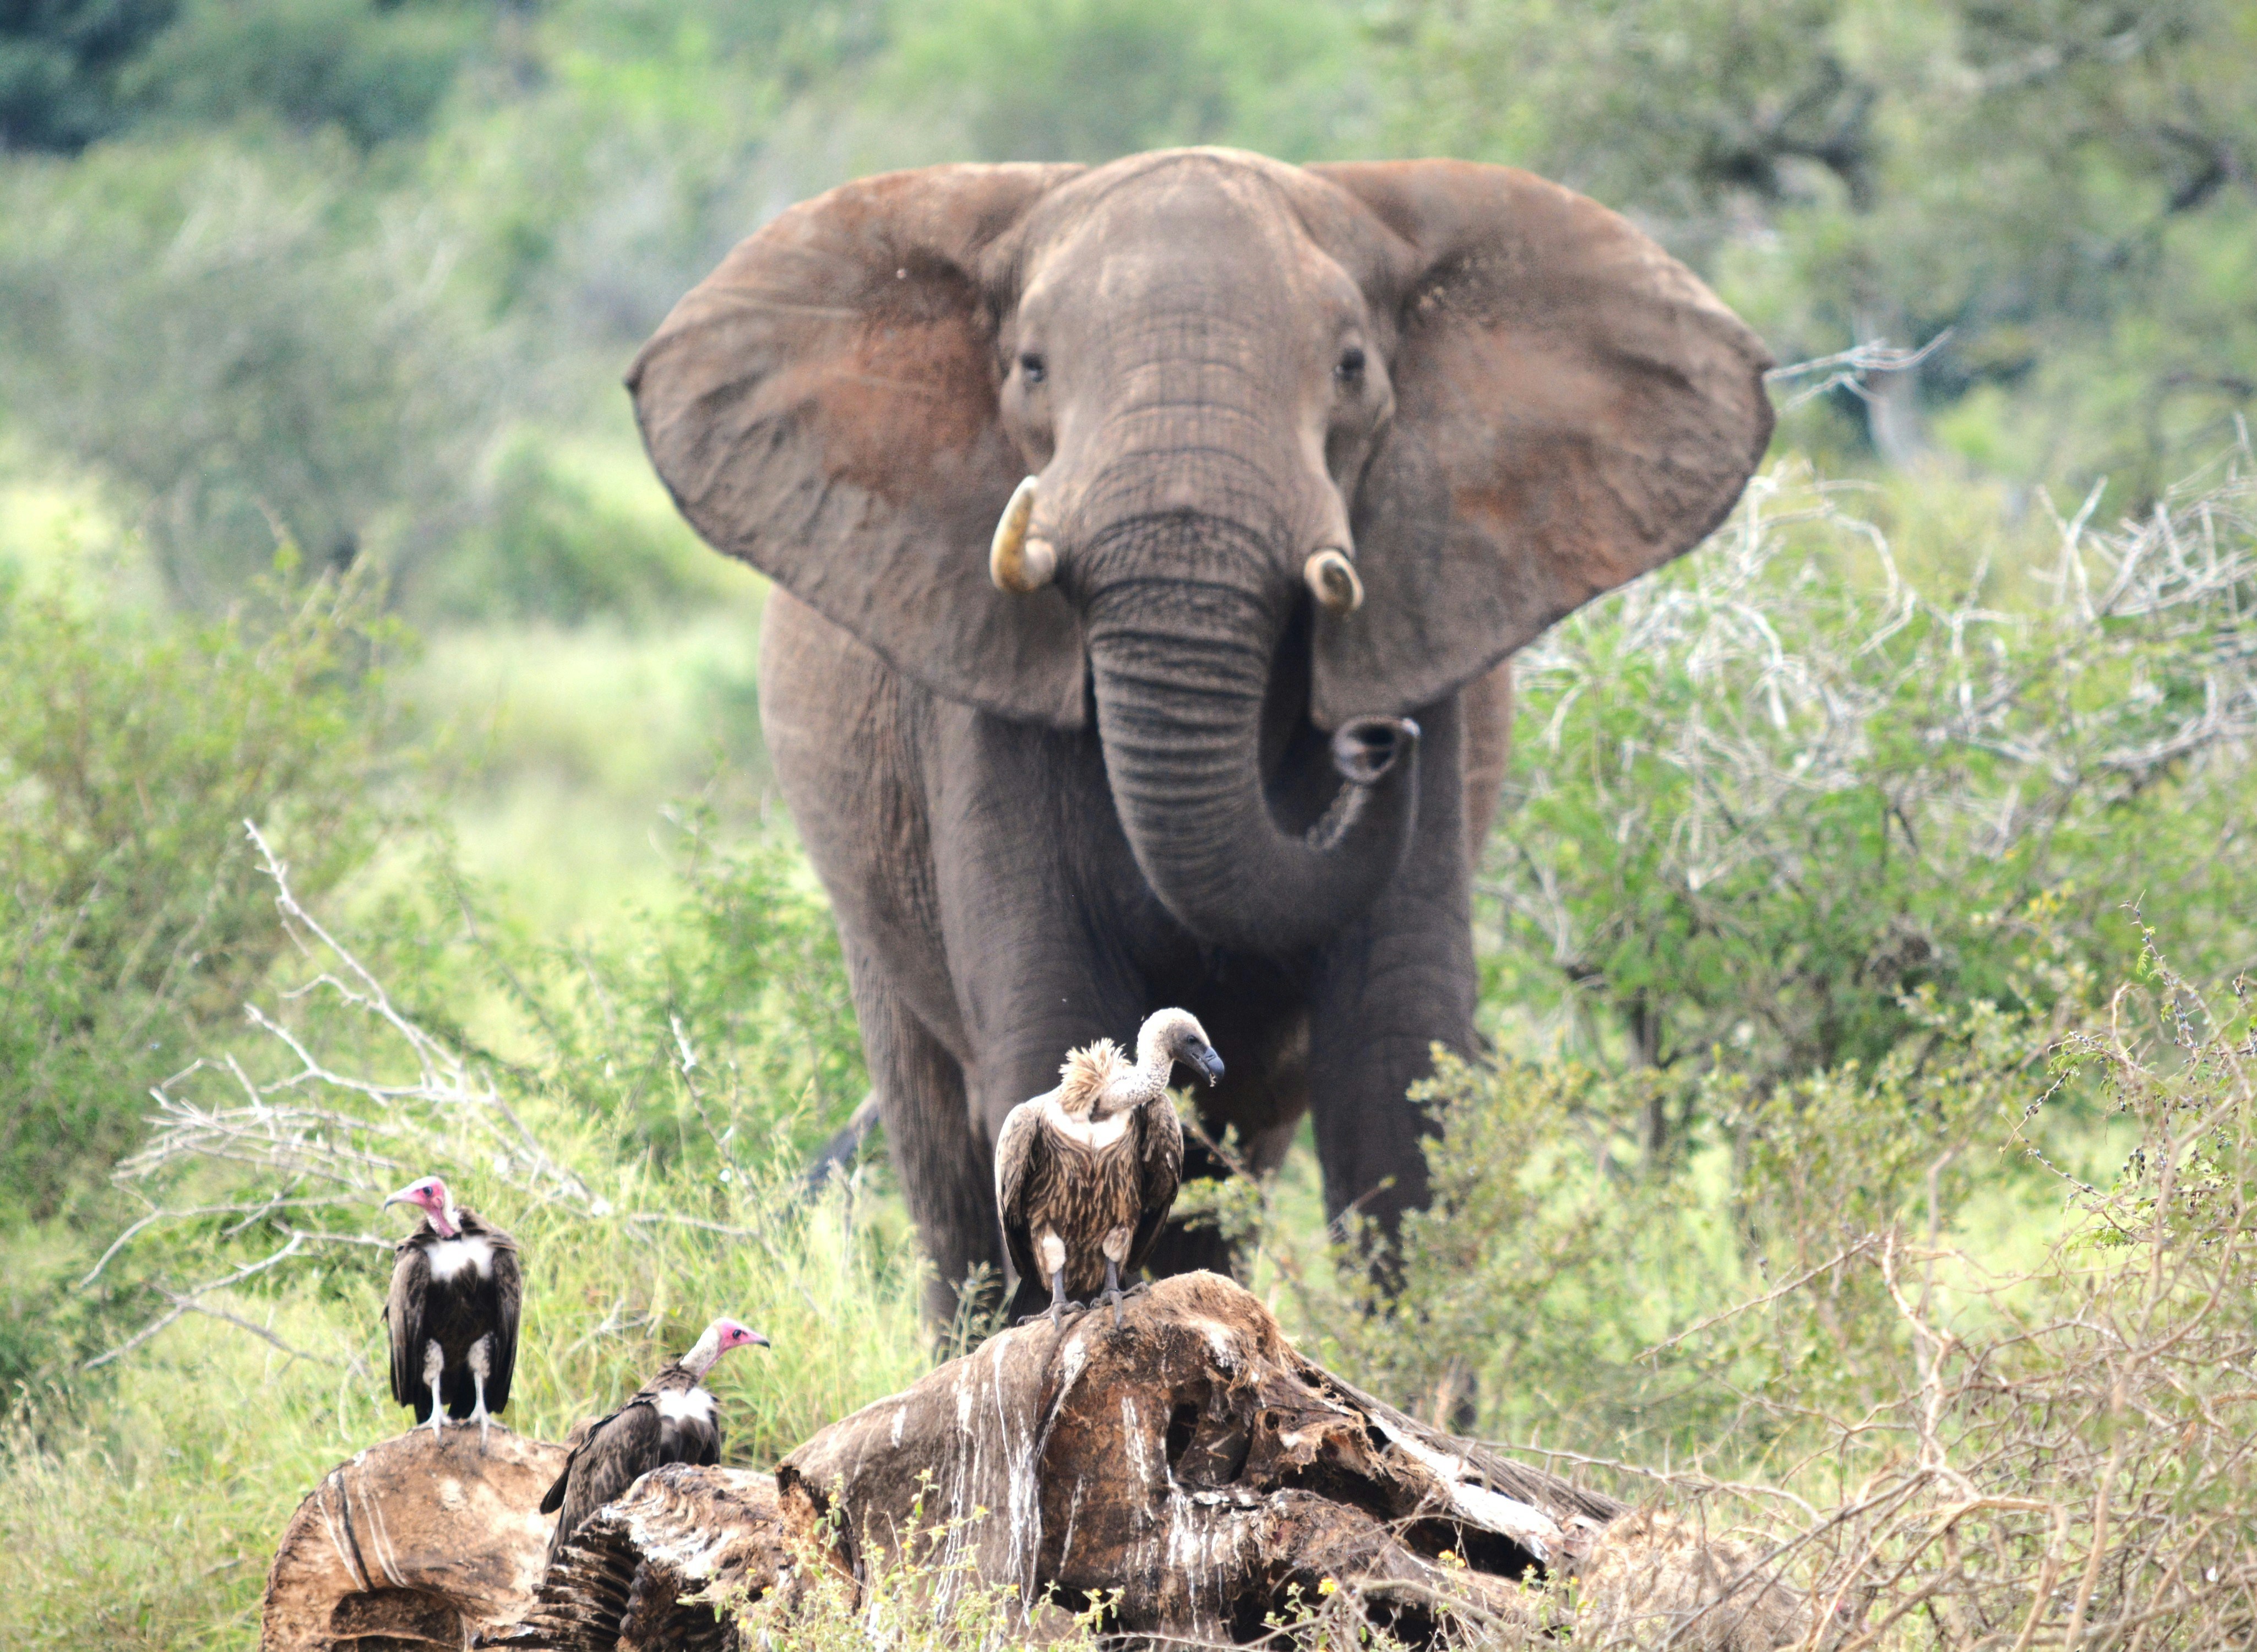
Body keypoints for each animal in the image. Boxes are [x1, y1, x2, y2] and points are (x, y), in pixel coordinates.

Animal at [629, 148, 1772, 1325]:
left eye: (1351, 369)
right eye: (1031, 371)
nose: (1377, 735)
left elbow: (1395, 1078)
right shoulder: (978, 699)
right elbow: (1054, 1026)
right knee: (944, 1166)